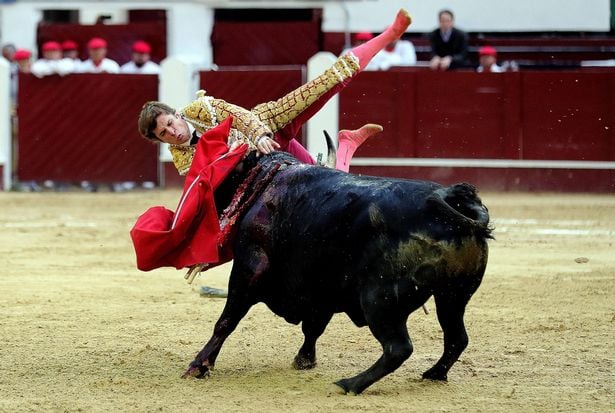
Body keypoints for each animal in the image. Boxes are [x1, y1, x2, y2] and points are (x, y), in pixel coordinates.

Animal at [182, 148, 490, 392]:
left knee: (398, 348)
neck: (266, 182)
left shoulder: (248, 269)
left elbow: (226, 321)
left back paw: (350, 384)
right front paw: (304, 360)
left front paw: (198, 366)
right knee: (456, 338)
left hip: (379, 300)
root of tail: (446, 200)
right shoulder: (321, 287)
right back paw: (434, 374)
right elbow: (313, 327)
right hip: (453, 295)